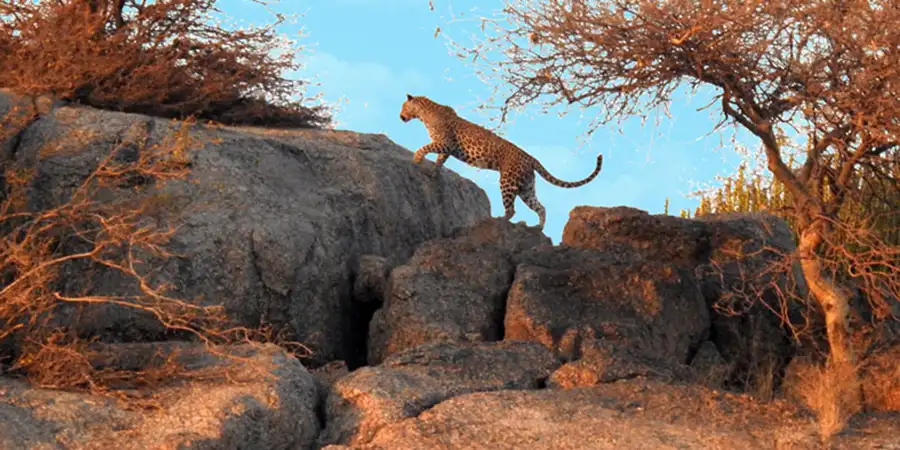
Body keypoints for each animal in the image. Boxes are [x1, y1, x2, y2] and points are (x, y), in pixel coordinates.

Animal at [399, 94, 604, 230]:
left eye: (403, 107)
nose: (400, 116)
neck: (424, 113)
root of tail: (530, 157)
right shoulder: (446, 148)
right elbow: (439, 161)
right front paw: (433, 172)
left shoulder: (445, 143)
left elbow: (425, 148)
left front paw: (417, 158)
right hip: (526, 187)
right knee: (540, 206)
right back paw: (538, 228)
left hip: (508, 181)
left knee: (511, 209)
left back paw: (498, 221)